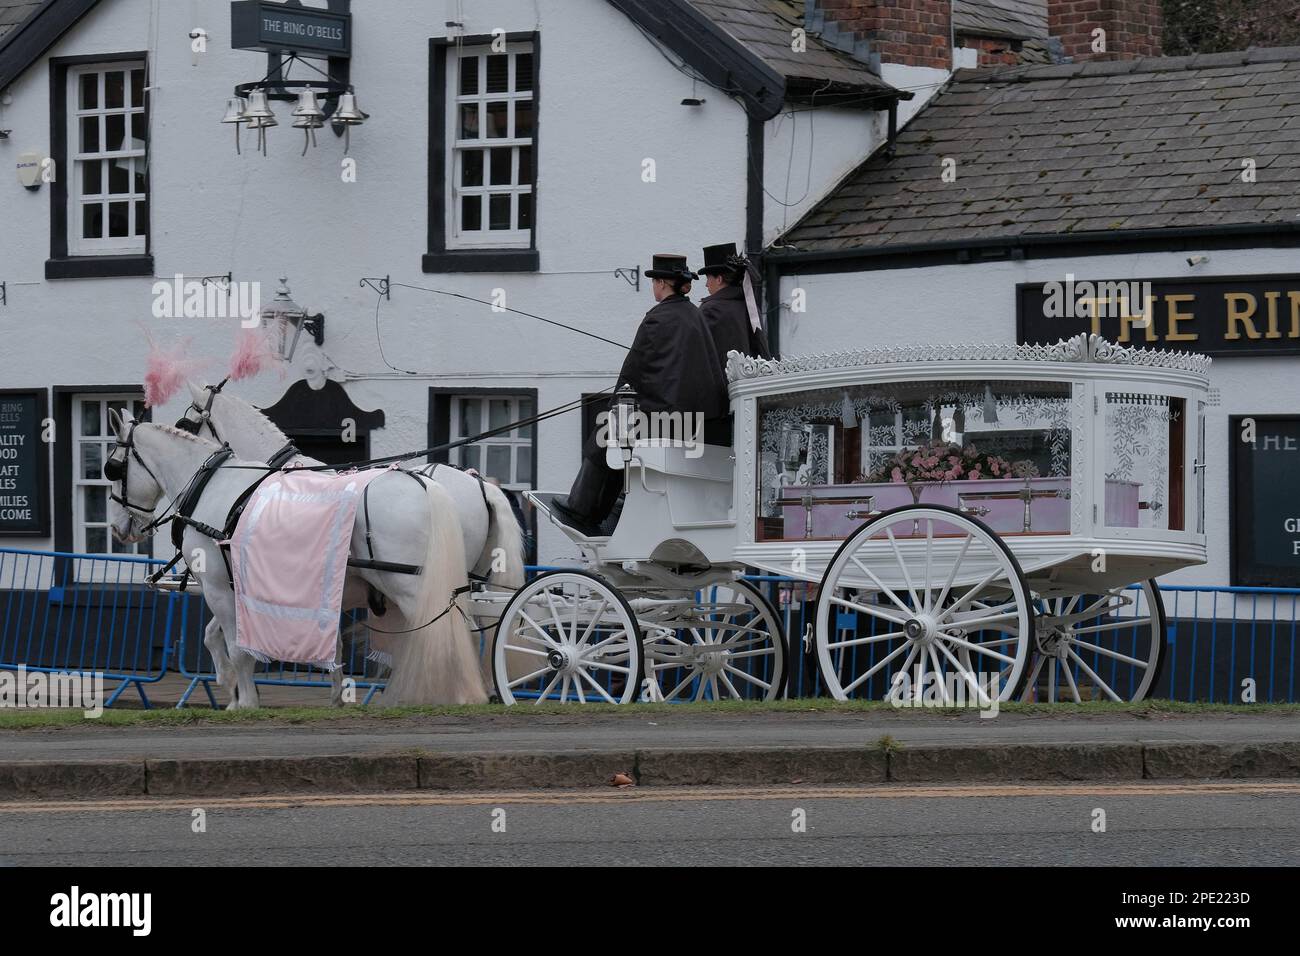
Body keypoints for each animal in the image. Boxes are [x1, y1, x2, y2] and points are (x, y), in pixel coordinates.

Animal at [105, 408, 488, 707]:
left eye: (112, 468)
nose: (118, 527)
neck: (213, 487)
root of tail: (431, 487)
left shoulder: (217, 586)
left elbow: (237, 645)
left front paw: (245, 701)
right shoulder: (239, 588)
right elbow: (216, 636)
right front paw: (232, 687)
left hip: (413, 586)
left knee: (446, 634)